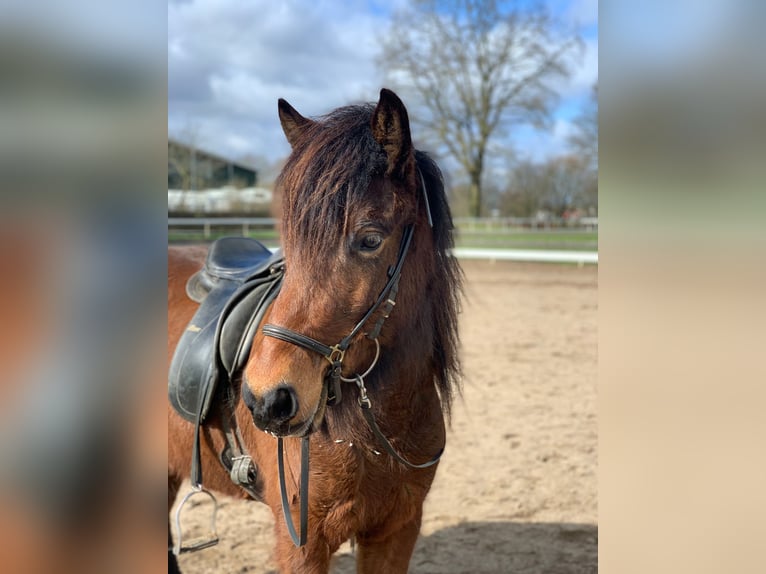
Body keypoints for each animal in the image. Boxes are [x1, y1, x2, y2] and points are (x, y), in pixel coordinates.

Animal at [168, 88, 462, 572]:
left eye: (370, 239)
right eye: (290, 239)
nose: (266, 399)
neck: (376, 428)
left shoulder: (396, 531)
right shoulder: (301, 544)